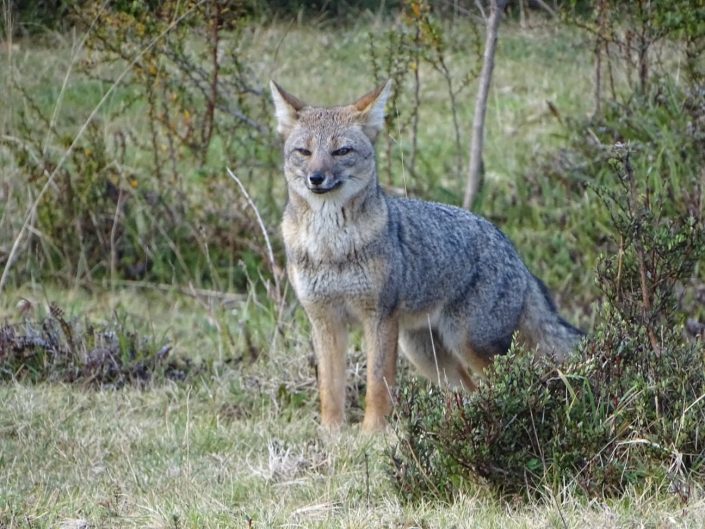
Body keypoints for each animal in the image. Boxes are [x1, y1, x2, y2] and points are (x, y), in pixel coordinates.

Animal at [270, 80, 584, 432]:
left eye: (341, 151)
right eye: (304, 152)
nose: (316, 178)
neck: (330, 247)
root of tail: (513, 252)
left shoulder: (378, 318)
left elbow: (378, 384)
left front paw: (372, 434)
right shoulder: (325, 321)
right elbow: (329, 388)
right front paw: (332, 435)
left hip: (469, 344)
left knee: (509, 380)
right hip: (423, 351)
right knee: (469, 389)